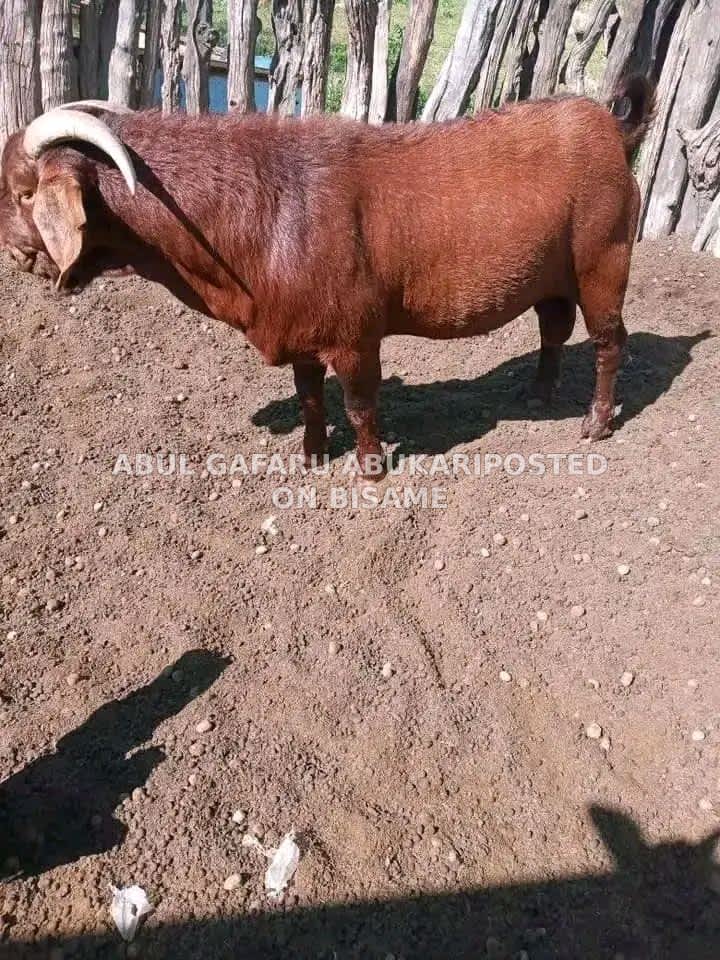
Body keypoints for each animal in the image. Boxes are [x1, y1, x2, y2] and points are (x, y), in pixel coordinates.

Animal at [0, 79, 653, 475]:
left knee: (609, 341)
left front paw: (370, 469)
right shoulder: (302, 332)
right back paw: (539, 393)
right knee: (553, 331)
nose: (15, 253)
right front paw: (312, 457)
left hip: (603, 259)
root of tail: (610, 127)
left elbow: (360, 404)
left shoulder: (355, 335)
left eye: (25, 192)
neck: (269, 210)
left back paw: (596, 424)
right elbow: (311, 399)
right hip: (554, 274)